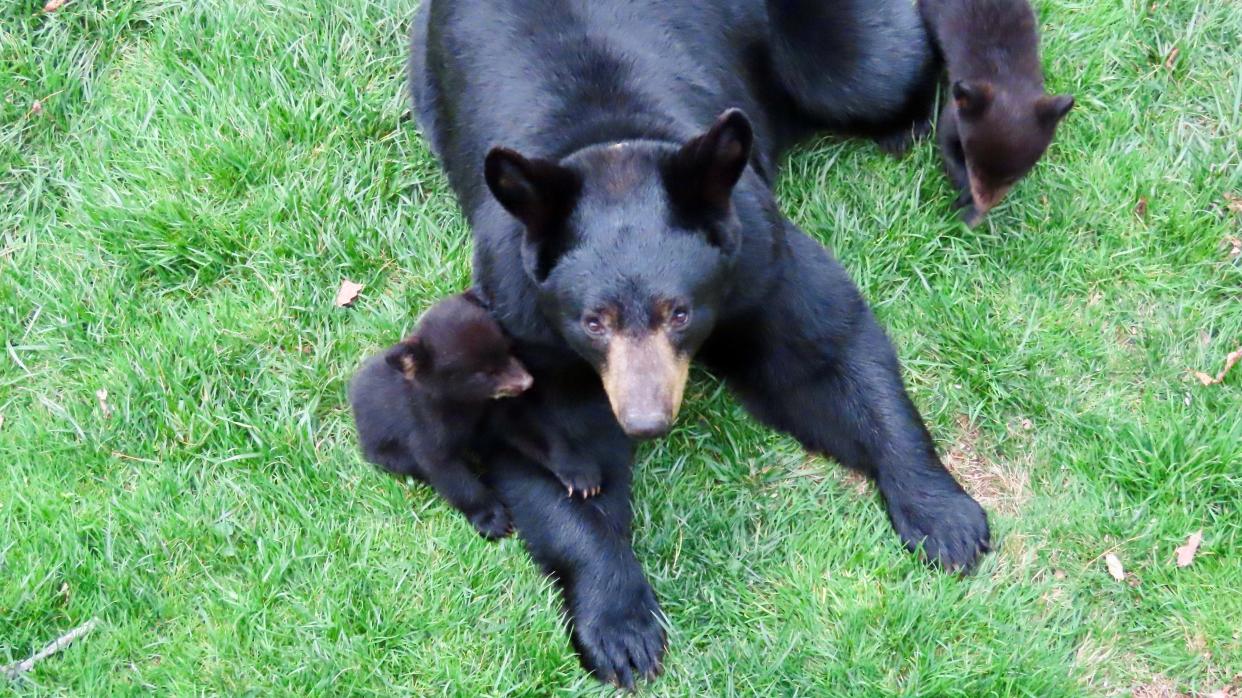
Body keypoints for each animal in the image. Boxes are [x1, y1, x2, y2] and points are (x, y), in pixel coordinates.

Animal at [412, 0, 993, 685]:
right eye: (593, 321)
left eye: (680, 313)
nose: (645, 420)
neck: (609, 142)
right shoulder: (524, 322)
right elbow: (550, 452)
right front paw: (621, 631)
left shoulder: (757, 257)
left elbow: (827, 352)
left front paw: (947, 521)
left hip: (843, 60)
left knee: (878, 68)